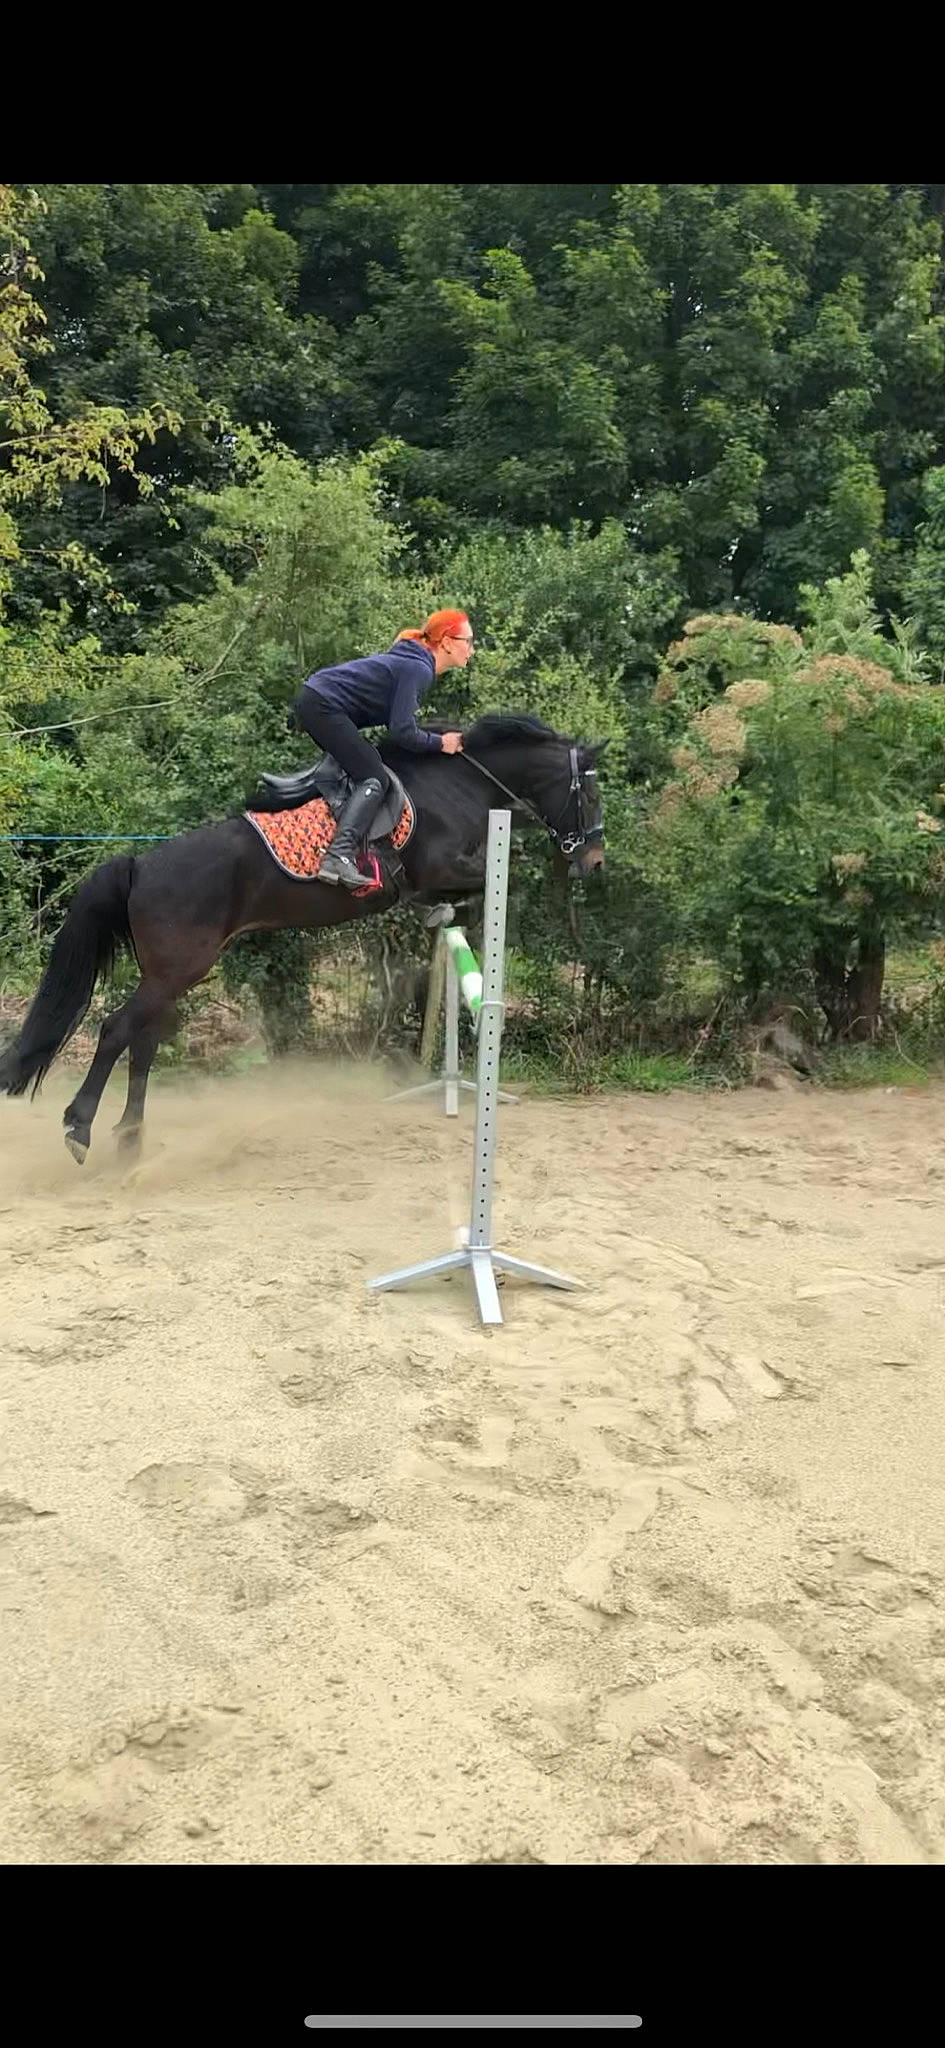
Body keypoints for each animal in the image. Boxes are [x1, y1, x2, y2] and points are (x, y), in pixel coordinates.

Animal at [0, 713, 606, 1162]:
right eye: (592, 798)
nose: (594, 862)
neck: (459, 783)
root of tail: (142, 865)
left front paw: (443, 915)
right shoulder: (442, 865)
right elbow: (502, 877)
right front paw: (447, 911)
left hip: (174, 974)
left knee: (143, 1040)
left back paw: (130, 1140)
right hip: (176, 970)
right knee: (115, 1031)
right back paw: (80, 1130)